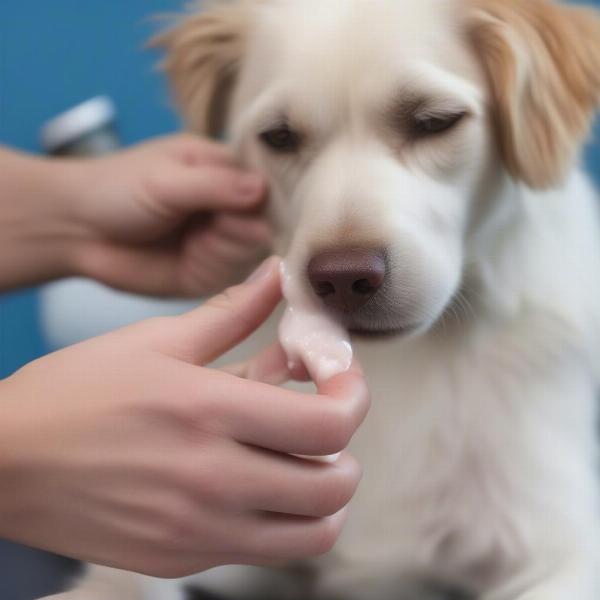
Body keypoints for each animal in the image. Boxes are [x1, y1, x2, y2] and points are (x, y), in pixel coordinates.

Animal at [44, 0, 600, 596]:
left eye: (434, 121)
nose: (343, 279)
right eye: (279, 137)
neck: (400, 369)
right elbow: (125, 576)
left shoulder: (563, 545)